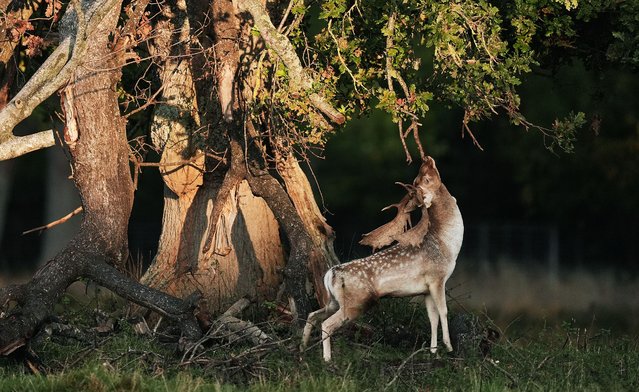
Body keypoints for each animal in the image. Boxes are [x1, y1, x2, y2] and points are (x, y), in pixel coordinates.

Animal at [302, 155, 464, 362]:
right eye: (424, 180)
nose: (427, 159)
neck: (447, 246)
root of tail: (331, 273)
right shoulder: (437, 278)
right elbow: (444, 312)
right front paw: (449, 348)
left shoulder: (426, 289)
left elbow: (432, 318)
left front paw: (433, 351)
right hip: (356, 301)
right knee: (327, 324)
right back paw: (327, 359)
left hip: (334, 301)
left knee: (313, 315)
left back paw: (301, 349)